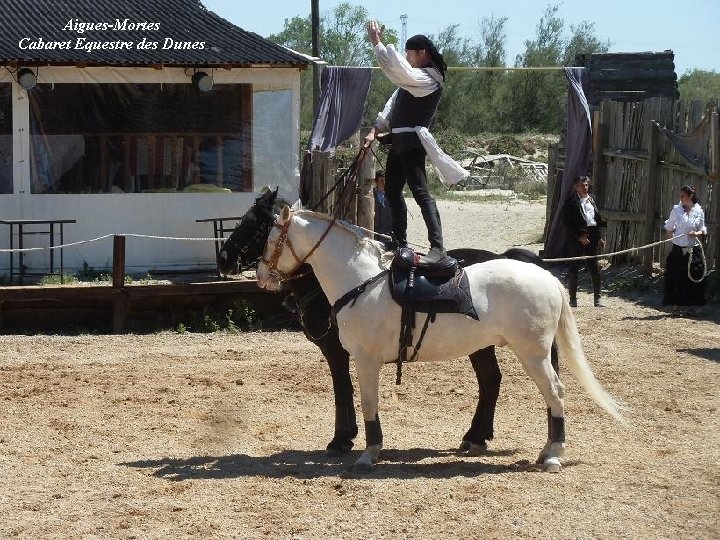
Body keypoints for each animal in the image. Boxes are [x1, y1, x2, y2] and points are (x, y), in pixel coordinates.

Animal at [217, 189, 560, 456]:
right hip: (481, 345)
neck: (357, 280)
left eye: (253, 224)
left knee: (494, 381)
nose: (223, 259)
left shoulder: (338, 350)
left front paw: (341, 440)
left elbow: (343, 389)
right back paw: (476, 437)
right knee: (491, 381)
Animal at [258, 207, 624, 472]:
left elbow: (368, 403)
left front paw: (368, 453)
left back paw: (552, 455)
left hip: (532, 354)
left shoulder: (364, 359)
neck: (361, 282)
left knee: (555, 393)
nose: (261, 275)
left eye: (270, 239)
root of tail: (545, 275)